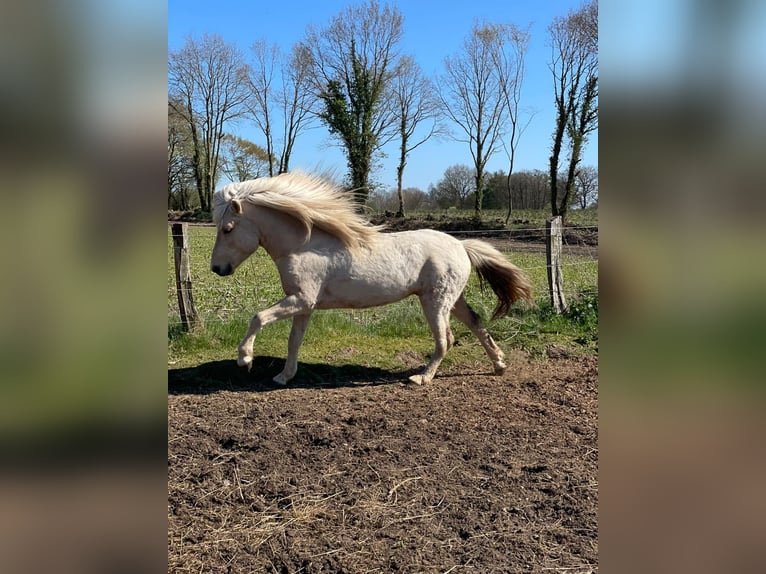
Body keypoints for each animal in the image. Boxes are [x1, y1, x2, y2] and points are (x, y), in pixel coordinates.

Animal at [210, 171, 533, 386]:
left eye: (227, 228)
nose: (217, 268)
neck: (304, 244)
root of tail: (461, 246)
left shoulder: (300, 300)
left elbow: (258, 317)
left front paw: (245, 359)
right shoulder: (304, 305)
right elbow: (293, 342)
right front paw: (283, 376)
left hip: (436, 302)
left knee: (446, 339)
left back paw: (422, 378)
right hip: (453, 300)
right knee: (477, 325)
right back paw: (499, 365)